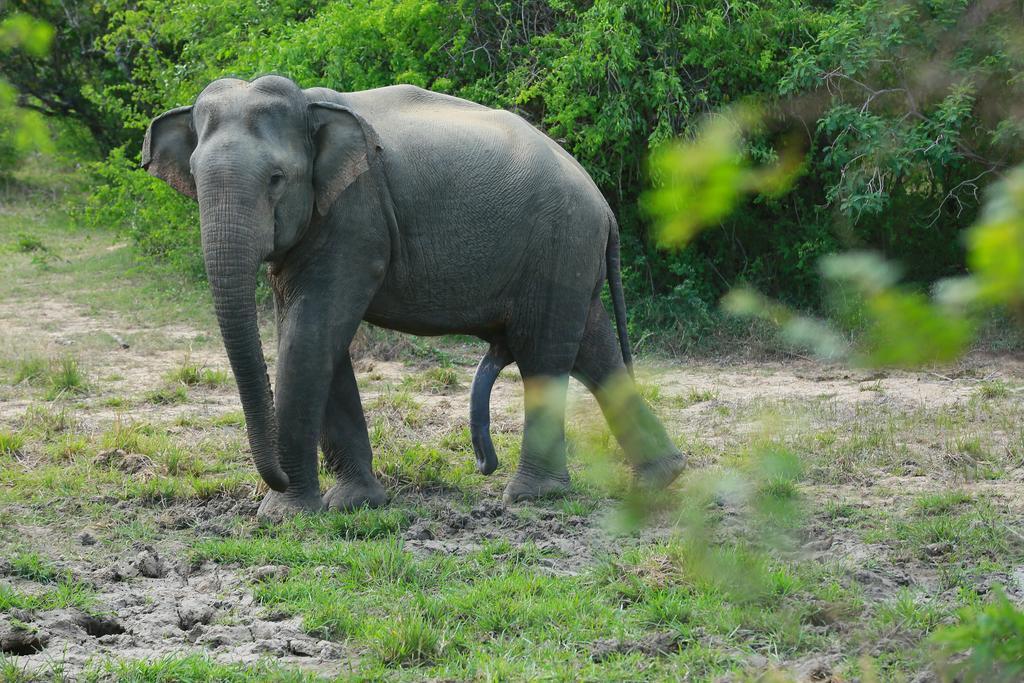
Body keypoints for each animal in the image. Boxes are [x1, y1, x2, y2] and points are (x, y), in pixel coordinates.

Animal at [142, 74, 688, 518]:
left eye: (277, 179)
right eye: (194, 177)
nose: (273, 480)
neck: (312, 108)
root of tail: (604, 205)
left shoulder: (355, 217)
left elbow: (310, 333)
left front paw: (284, 515)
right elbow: (318, 339)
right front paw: (353, 504)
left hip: (560, 244)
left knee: (545, 353)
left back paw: (531, 497)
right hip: (569, 256)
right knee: (594, 352)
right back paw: (661, 478)